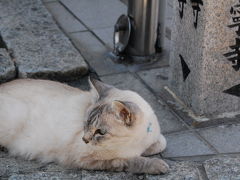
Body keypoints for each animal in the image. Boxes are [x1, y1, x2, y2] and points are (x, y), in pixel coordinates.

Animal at [0, 77, 169, 174]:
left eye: (100, 132)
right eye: (86, 124)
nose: (85, 140)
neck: (134, 143)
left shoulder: (154, 138)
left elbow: (161, 143)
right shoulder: (86, 159)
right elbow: (129, 161)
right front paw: (158, 165)